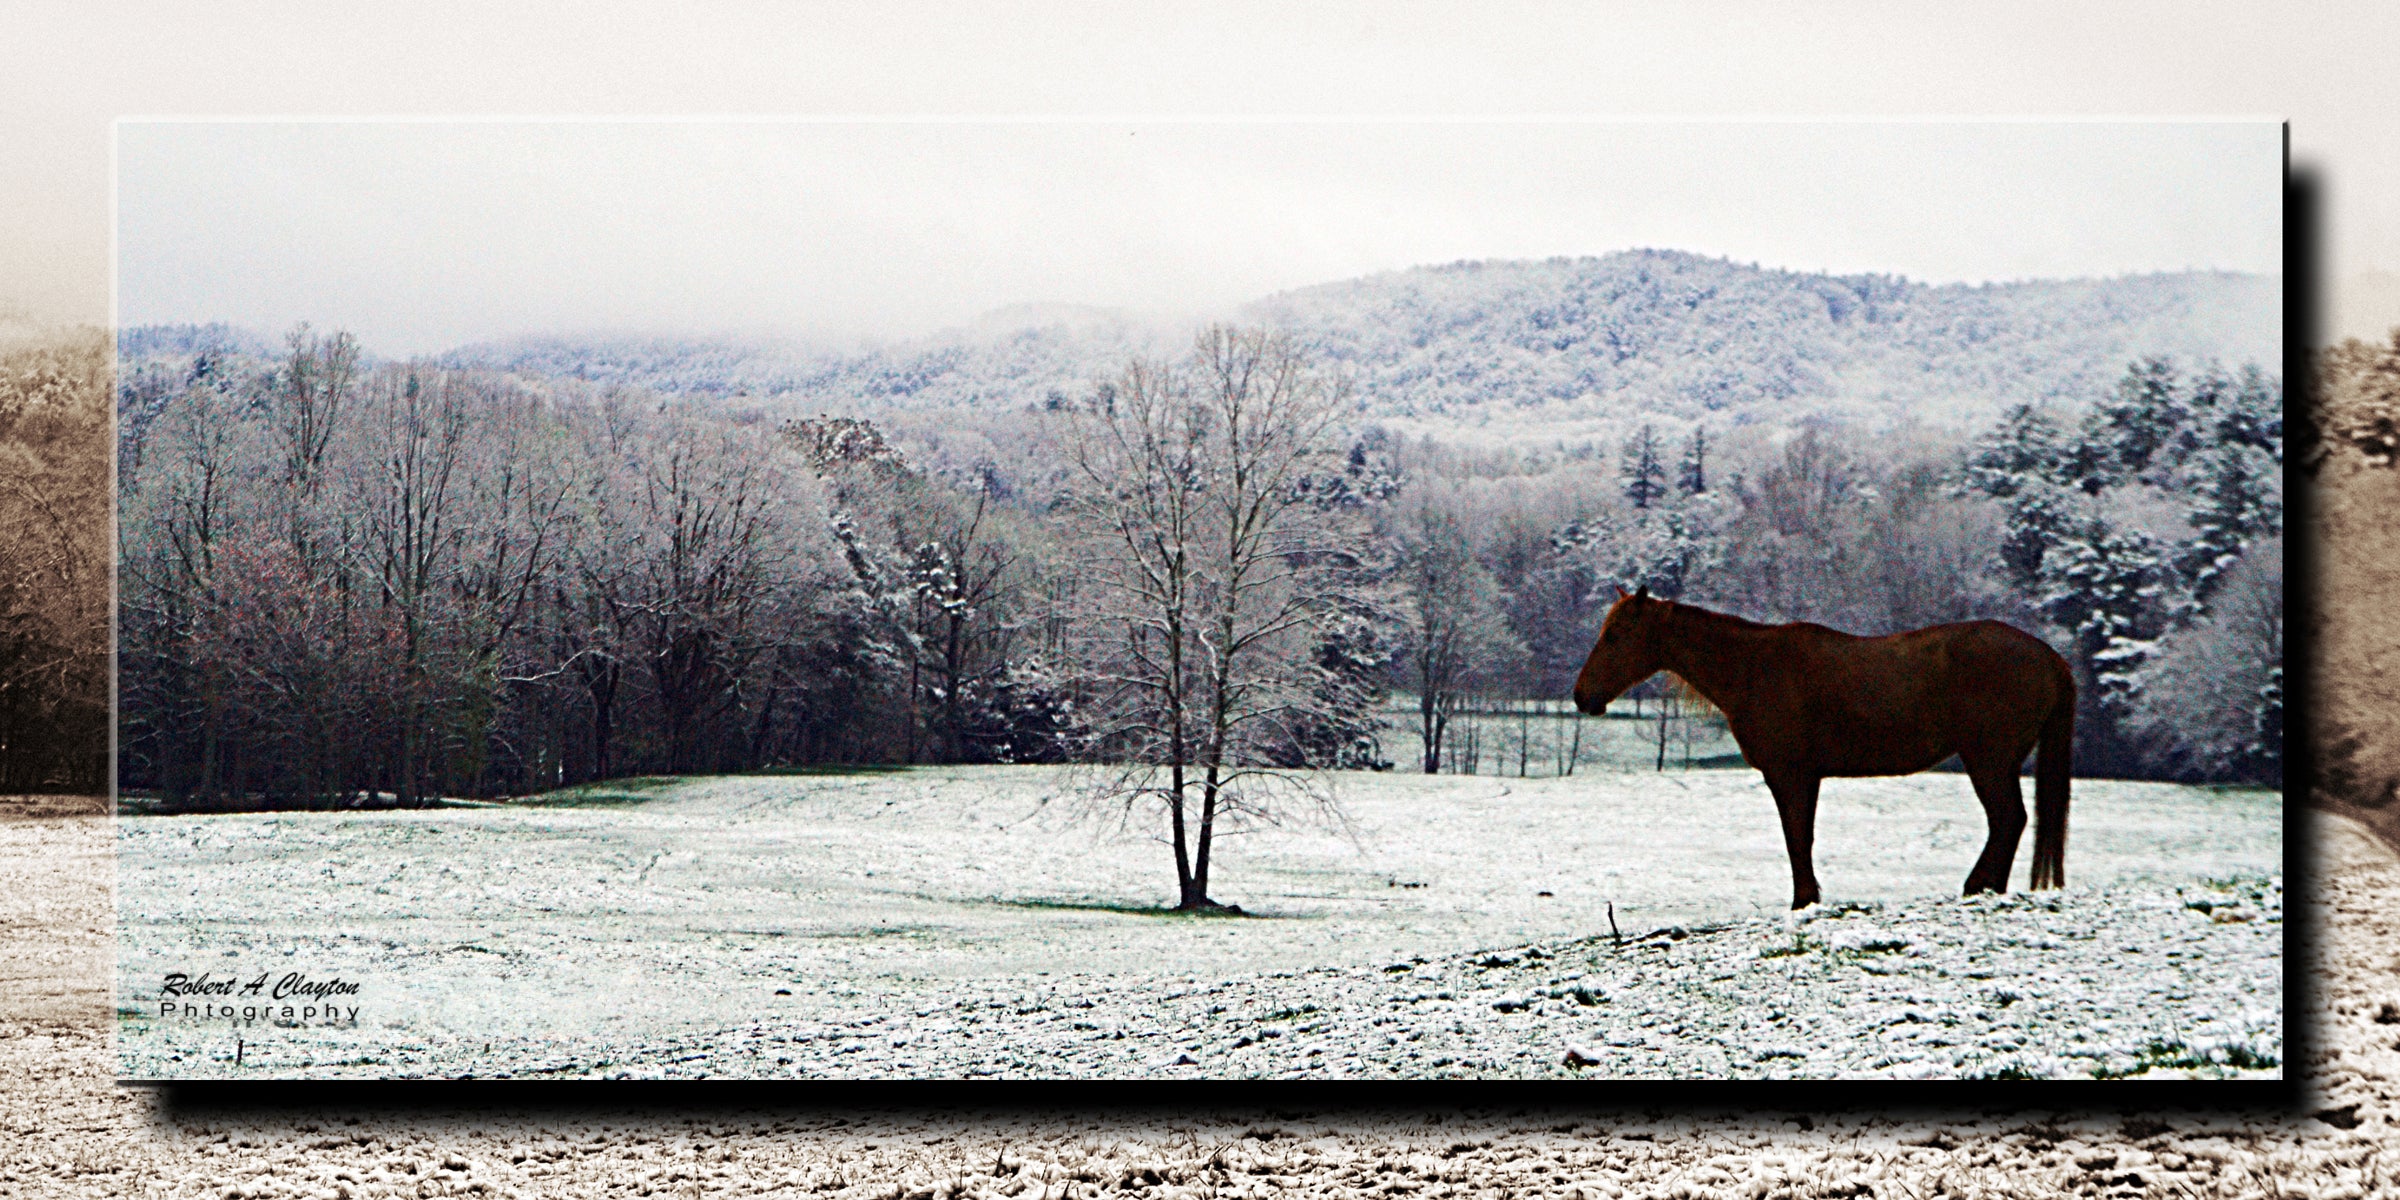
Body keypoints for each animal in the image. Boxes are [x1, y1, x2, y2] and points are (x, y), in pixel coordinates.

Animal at [1571, 588, 2075, 910]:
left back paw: (1980, 888)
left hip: (1989, 761)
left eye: (1615, 635)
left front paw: (1804, 901)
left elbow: (1797, 838)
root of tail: (2049, 656)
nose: (1582, 696)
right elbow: (1801, 837)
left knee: (2008, 819)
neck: (1753, 668)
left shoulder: (1790, 775)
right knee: (2010, 822)